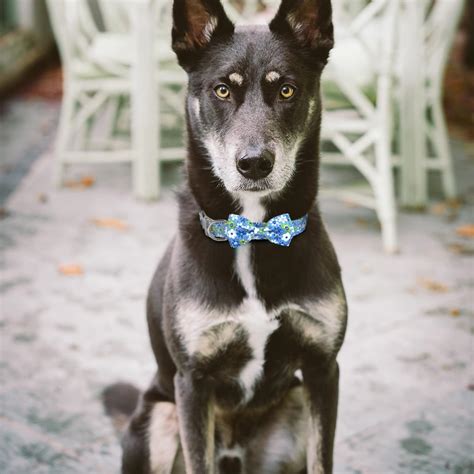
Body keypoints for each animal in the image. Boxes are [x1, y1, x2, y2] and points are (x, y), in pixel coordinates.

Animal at [111, 0, 348, 472]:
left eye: (287, 90)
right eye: (222, 90)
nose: (254, 163)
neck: (254, 233)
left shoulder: (322, 370)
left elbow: (322, 458)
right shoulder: (193, 382)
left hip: (294, 405)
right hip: (161, 417)